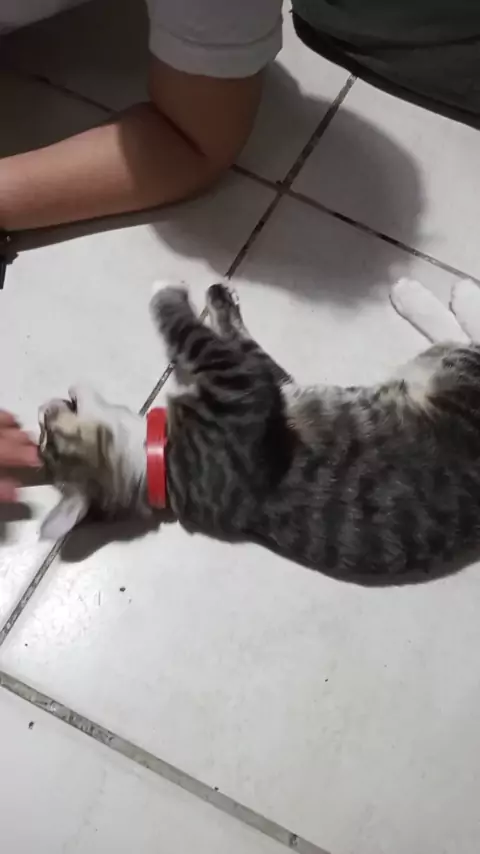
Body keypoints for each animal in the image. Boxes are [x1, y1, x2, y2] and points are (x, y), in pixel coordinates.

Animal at [38, 277, 480, 584]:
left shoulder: (264, 381)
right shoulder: (244, 384)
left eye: (44, 434)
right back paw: (446, 291)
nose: (44, 407)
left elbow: (228, 337)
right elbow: (193, 334)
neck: (160, 467)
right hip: (459, 377)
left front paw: (218, 296)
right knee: (465, 337)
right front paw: (169, 291)